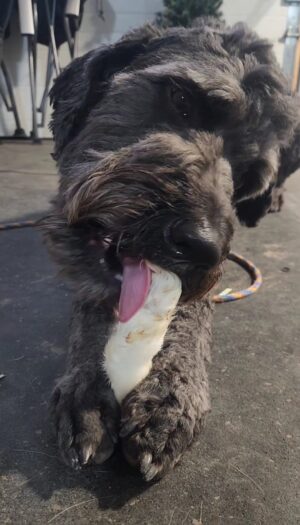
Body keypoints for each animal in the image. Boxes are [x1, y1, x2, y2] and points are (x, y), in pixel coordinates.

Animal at [43, 20, 298, 478]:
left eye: (247, 179)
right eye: (181, 101)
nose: (201, 246)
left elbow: (192, 315)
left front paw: (171, 394)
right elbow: (90, 306)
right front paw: (86, 387)